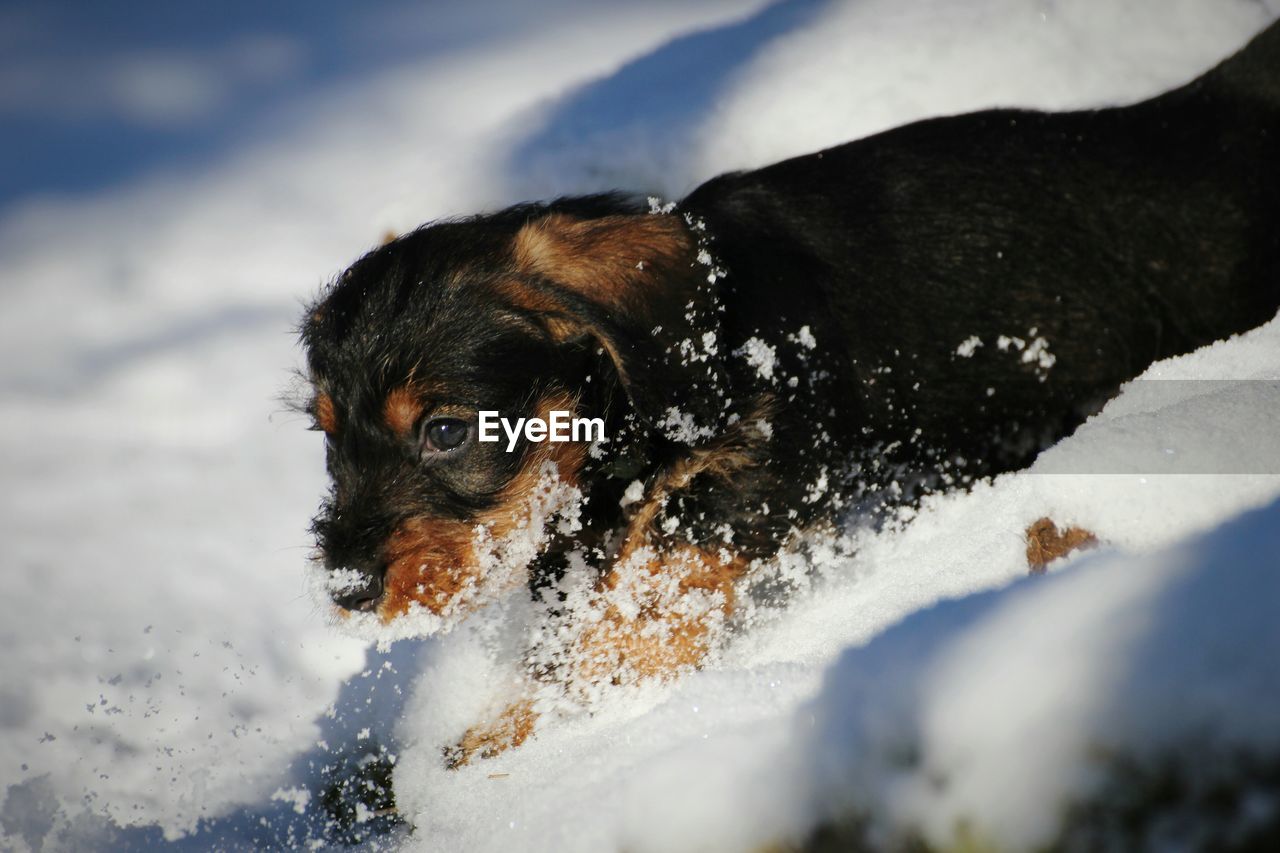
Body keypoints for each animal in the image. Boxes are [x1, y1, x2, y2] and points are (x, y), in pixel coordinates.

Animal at [302, 21, 1280, 763]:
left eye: (443, 430)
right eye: (325, 436)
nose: (345, 586)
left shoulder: (776, 462)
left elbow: (671, 564)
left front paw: (590, 685)